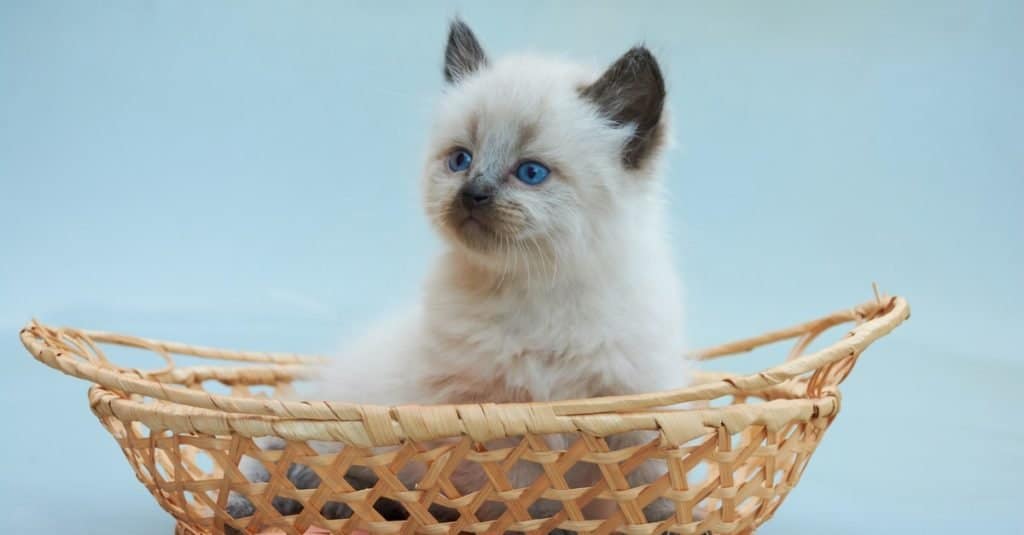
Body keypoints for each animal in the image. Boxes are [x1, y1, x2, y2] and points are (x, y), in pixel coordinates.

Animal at [229, 19, 688, 528]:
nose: (473, 194)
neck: (536, 292)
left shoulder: (630, 406)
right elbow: (503, 499)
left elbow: (646, 491)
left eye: (531, 172)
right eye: (461, 159)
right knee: (291, 465)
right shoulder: (477, 418)